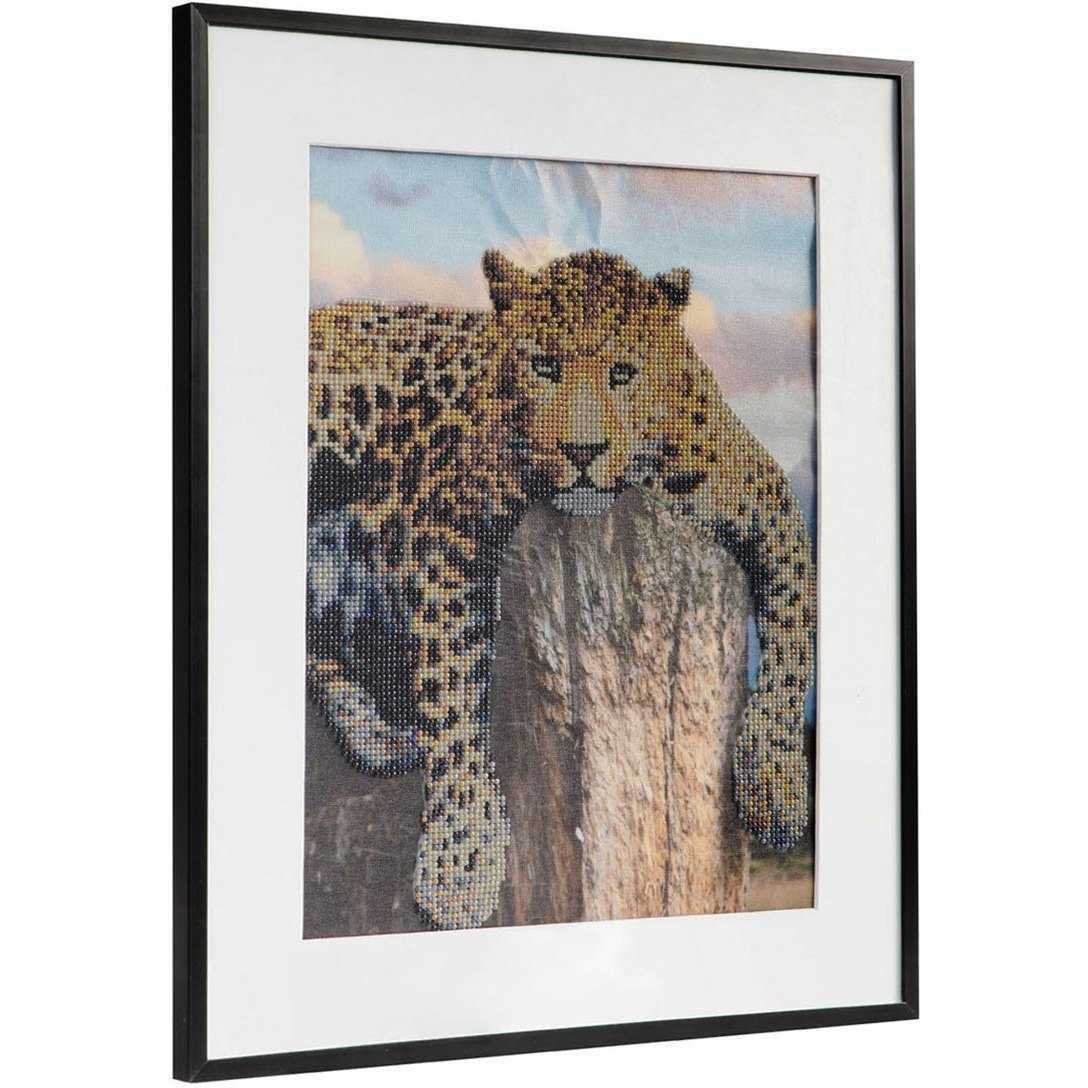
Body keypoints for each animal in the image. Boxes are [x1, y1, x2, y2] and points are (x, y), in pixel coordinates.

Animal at [307, 249, 816, 931]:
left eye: (623, 373)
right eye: (544, 367)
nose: (582, 450)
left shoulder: (754, 484)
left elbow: (795, 623)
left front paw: (776, 781)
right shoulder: (438, 526)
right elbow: (452, 694)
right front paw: (460, 862)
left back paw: (376, 733)